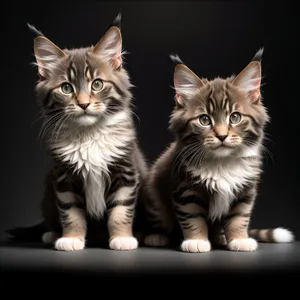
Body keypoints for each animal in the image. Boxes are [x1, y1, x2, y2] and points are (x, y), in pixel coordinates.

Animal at [7, 15, 148, 252]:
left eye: (97, 84)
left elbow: (121, 209)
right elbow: (71, 211)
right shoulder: (64, 176)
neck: (89, 134)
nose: (83, 104)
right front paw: (71, 238)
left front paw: (122, 238)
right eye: (66, 88)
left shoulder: (125, 170)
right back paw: (51, 234)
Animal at [142, 50, 294, 252]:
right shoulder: (186, 189)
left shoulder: (245, 190)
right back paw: (156, 236)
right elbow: (193, 217)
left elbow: (239, 218)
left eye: (235, 117)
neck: (222, 163)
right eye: (204, 120)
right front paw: (196, 241)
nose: (222, 136)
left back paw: (220, 237)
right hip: (154, 196)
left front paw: (239, 239)